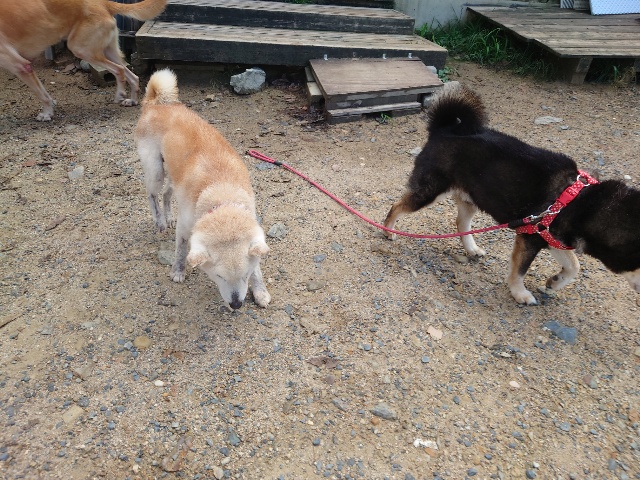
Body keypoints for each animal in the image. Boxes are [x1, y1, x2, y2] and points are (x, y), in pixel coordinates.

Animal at [0, 0, 167, 121]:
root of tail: (103, 3)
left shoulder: (21, 66)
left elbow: (41, 94)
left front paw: (47, 113)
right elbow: (43, 91)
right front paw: (51, 106)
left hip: (81, 49)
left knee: (119, 70)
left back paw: (120, 94)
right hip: (107, 51)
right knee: (132, 75)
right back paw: (132, 100)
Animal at [135, 69, 271, 310]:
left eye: (245, 276)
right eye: (219, 277)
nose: (236, 305)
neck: (222, 195)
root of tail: (155, 104)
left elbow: (258, 268)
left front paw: (260, 290)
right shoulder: (186, 227)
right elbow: (181, 250)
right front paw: (178, 271)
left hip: (174, 176)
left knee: (167, 194)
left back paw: (168, 217)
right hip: (155, 170)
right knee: (152, 194)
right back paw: (160, 221)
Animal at [384, 85, 640, 305]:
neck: (584, 204)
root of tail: (444, 129)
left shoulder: (550, 236)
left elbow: (573, 265)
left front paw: (554, 282)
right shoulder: (529, 238)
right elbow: (520, 271)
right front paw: (520, 293)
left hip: (470, 198)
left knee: (460, 223)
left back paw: (471, 248)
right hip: (429, 192)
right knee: (396, 206)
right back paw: (388, 231)